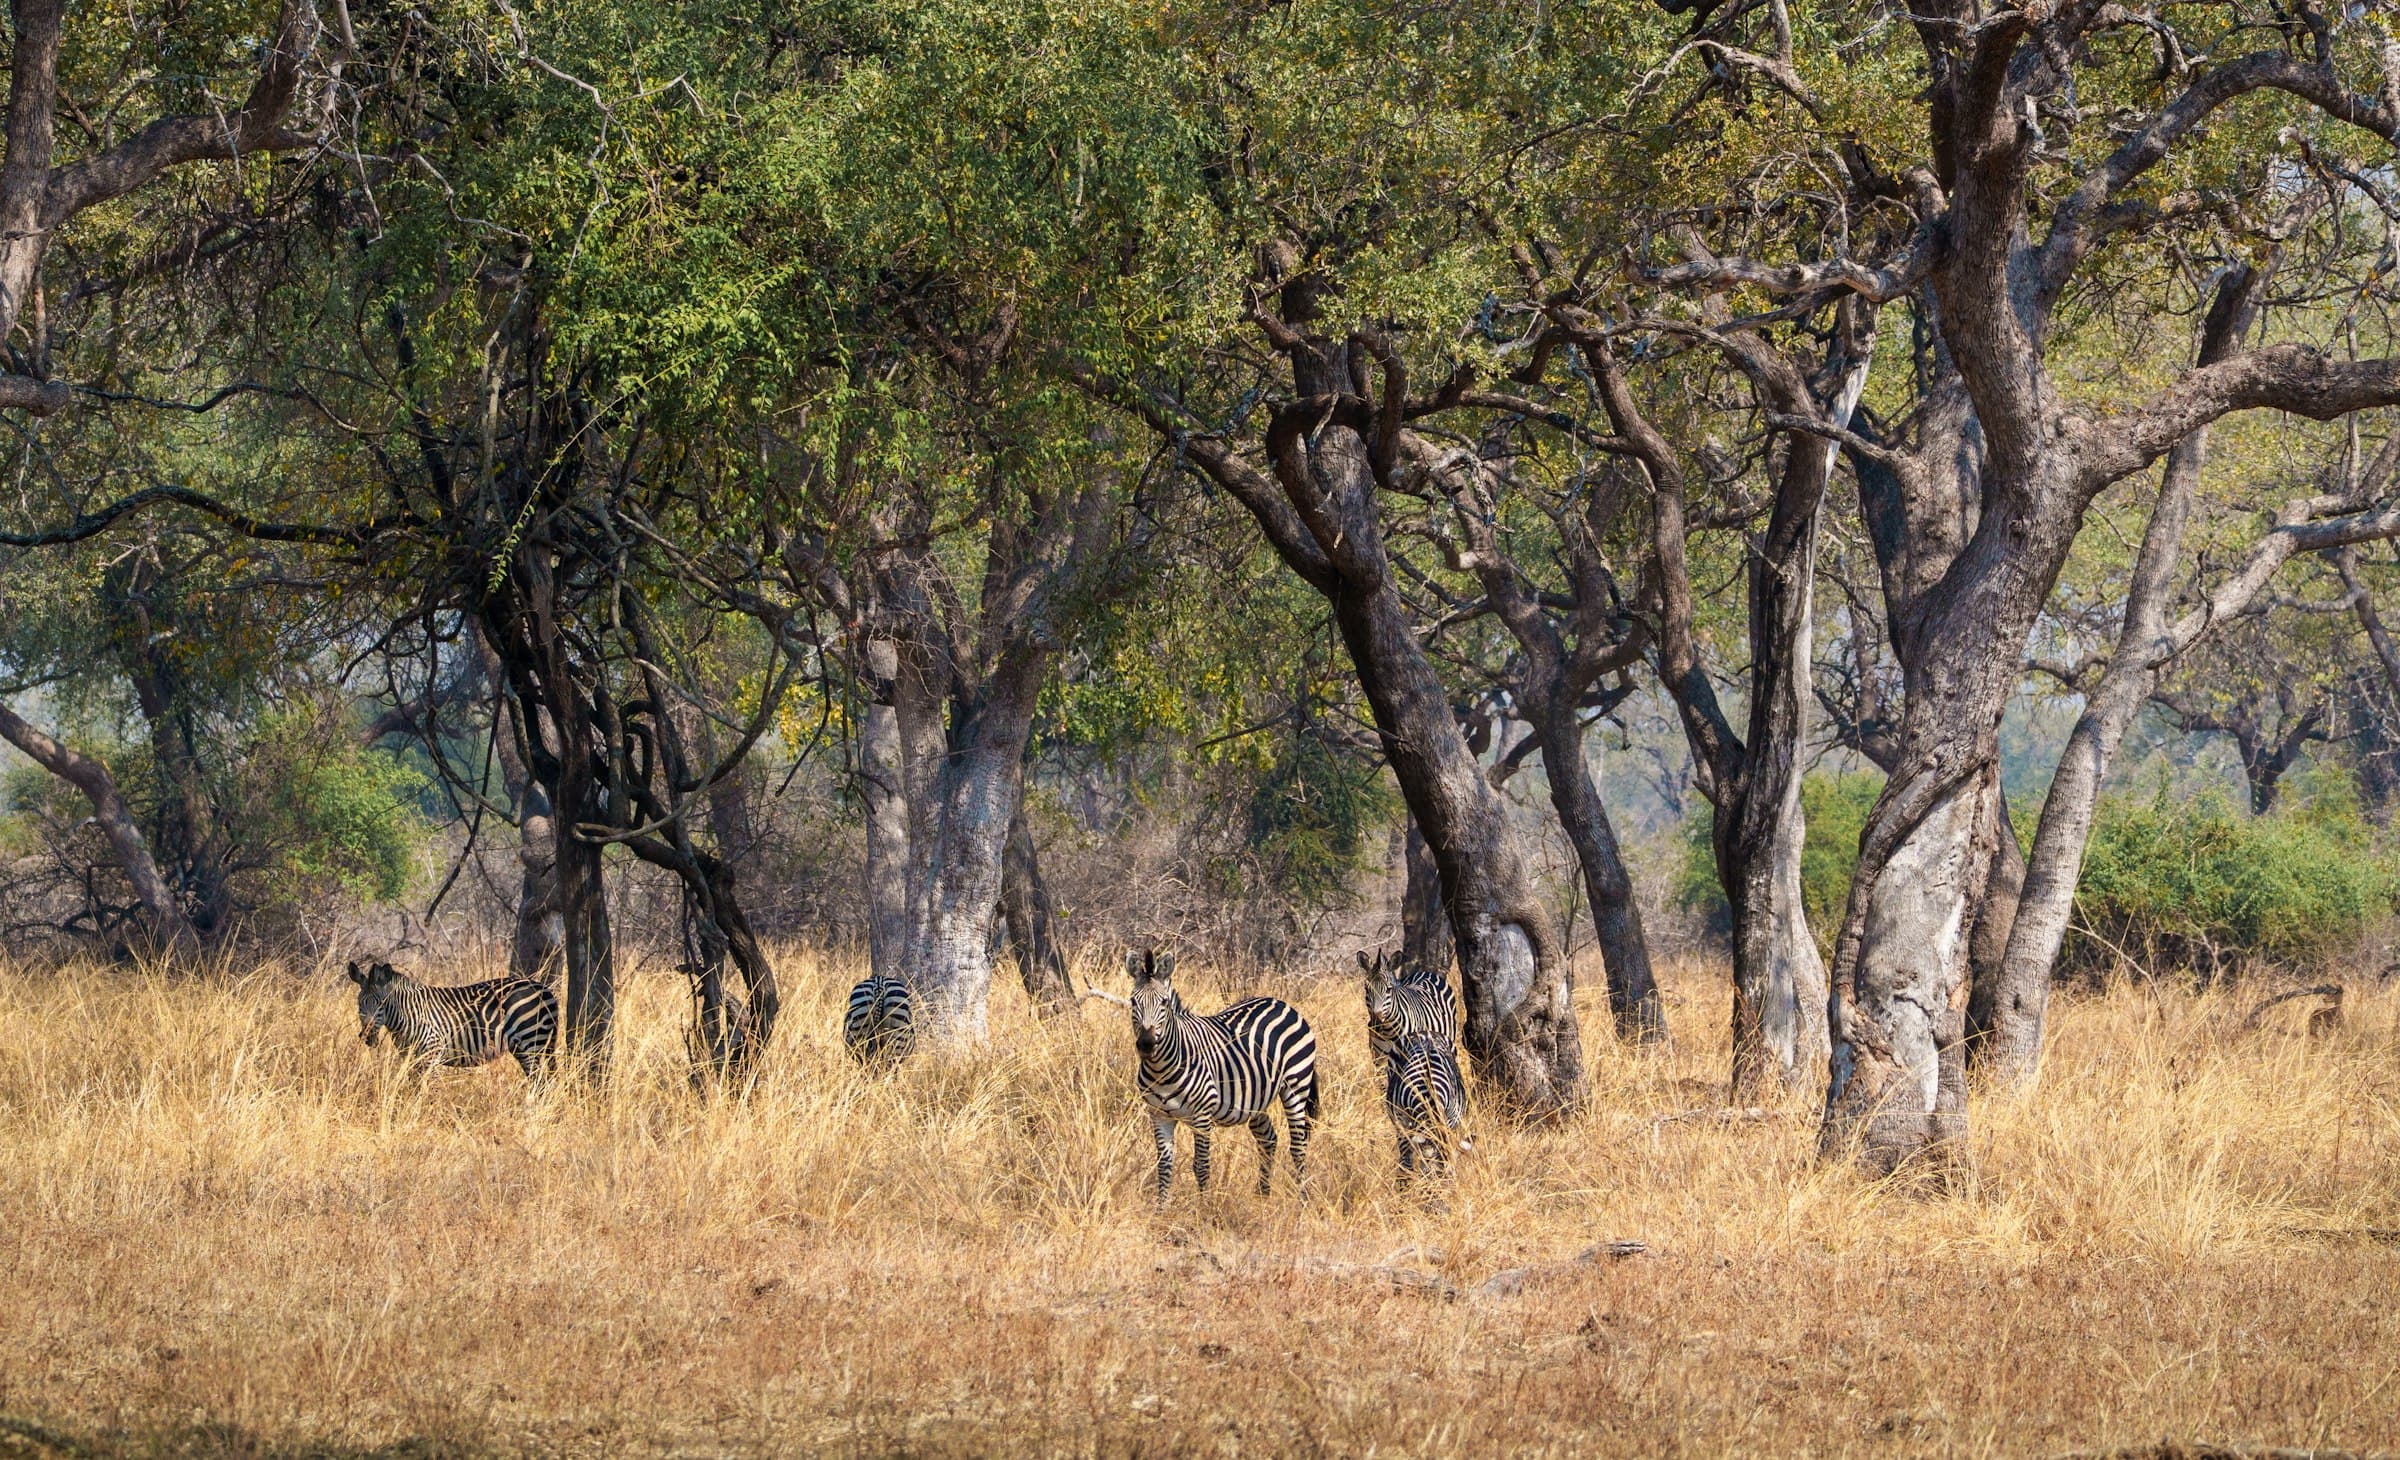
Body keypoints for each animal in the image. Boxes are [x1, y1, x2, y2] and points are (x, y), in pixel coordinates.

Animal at [346, 960, 557, 1080]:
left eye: (381, 1004)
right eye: (359, 1004)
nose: (367, 1036)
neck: (407, 1015)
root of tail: (543, 988)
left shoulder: (430, 1055)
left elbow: (430, 1091)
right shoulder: (411, 1058)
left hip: (531, 1042)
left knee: (540, 1083)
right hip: (524, 1047)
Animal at [1123, 948, 1318, 1201]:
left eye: (1164, 1002)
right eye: (1133, 1001)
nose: (1146, 1044)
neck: (1162, 1069)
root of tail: (1280, 1002)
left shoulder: (1202, 1116)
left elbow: (1201, 1166)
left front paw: (1204, 1207)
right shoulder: (1159, 1115)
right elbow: (1164, 1167)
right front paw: (1161, 1207)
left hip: (1296, 1086)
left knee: (1298, 1145)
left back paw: (1302, 1200)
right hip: (1256, 1097)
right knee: (1268, 1138)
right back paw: (1263, 1196)